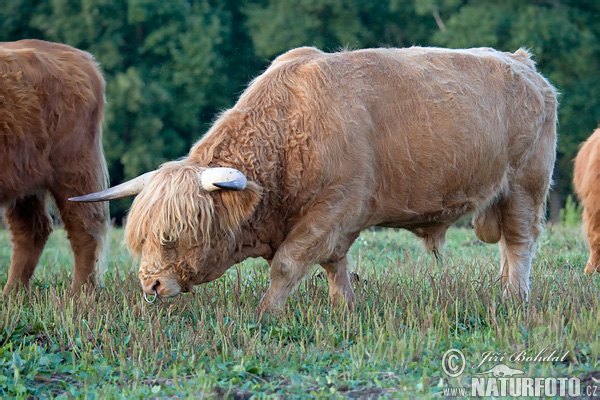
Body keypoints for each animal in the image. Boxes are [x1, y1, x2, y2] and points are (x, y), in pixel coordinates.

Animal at [0, 39, 108, 292]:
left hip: (73, 170)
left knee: (84, 225)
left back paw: (79, 291)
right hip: (23, 177)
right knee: (31, 230)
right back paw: (12, 293)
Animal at [74, 45, 556, 310]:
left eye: (175, 235)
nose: (150, 285)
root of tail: (523, 64)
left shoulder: (336, 208)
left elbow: (289, 264)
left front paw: (264, 314)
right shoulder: (331, 225)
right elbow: (334, 266)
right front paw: (347, 309)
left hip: (525, 187)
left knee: (520, 242)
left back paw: (514, 299)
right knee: (508, 248)